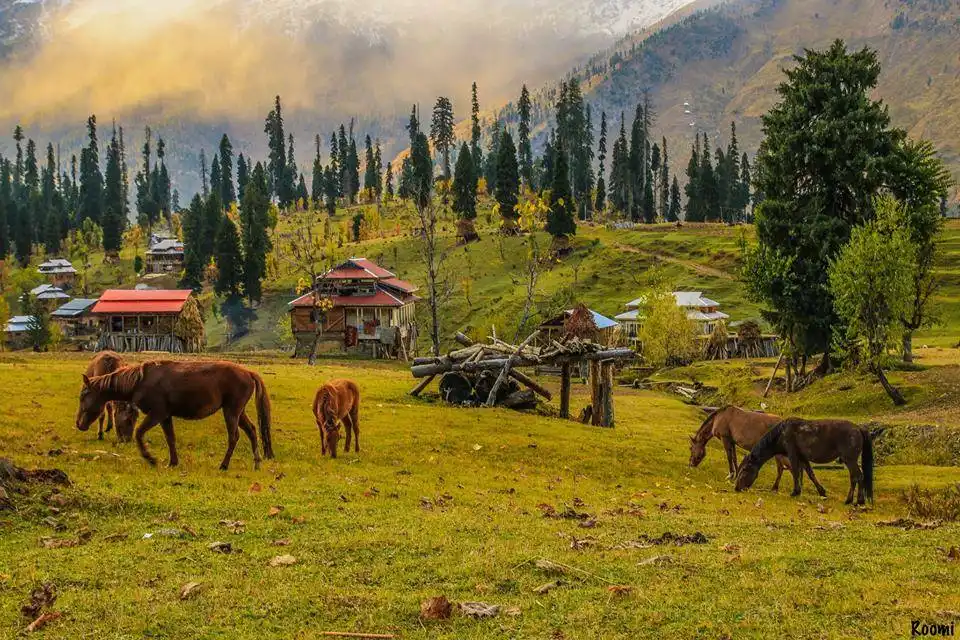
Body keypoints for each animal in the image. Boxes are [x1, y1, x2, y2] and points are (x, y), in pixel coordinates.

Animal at [75, 360, 274, 470]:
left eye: (83, 395)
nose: (79, 424)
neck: (140, 381)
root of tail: (248, 372)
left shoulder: (157, 413)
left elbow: (139, 433)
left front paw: (151, 459)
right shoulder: (165, 417)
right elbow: (170, 438)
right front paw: (172, 462)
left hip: (231, 411)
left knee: (234, 437)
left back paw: (224, 465)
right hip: (237, 412)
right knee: (252, 431)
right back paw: (256, 463)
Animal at [732, 420, 872, 504]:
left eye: (744, 470)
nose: (737, 488)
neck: (781, 433)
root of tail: (859, 428)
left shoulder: (793, 455)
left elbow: (795, 472)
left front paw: (795, 492)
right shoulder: (803, 457)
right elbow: (810, 474)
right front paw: (821, 492)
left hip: (850, 460)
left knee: (858, 477)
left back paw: (857, 500)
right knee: (854, 477)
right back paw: (851, 500)